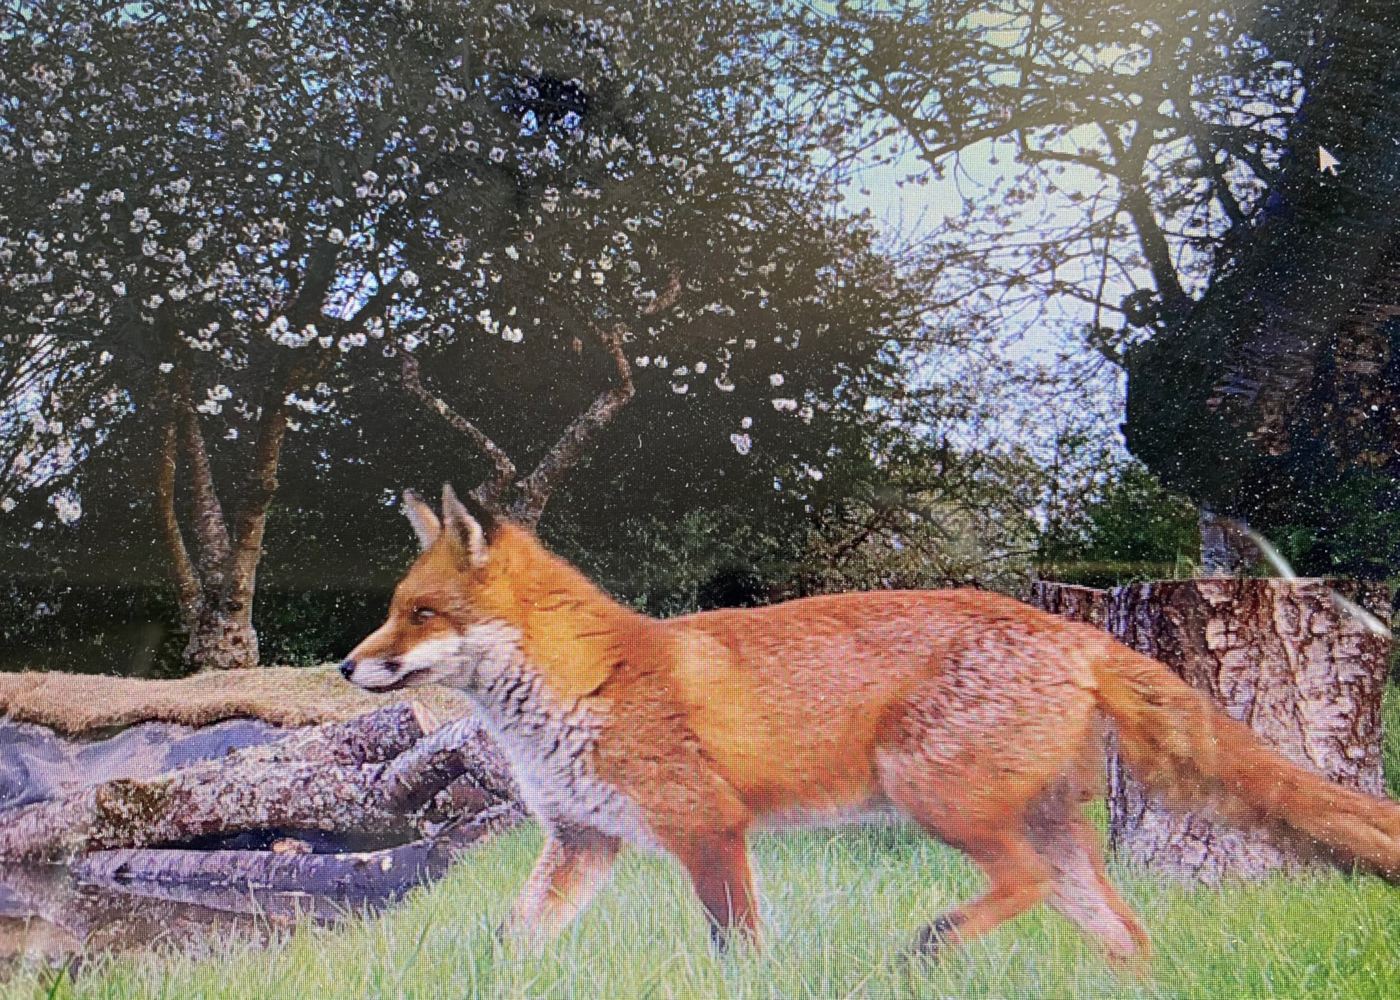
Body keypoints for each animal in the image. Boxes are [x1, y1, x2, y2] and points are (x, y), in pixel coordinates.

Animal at [341, 484, 1400, 963]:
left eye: (419, 614)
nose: (346, 666)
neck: (585, 685)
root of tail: (1068, 626)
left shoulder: (707, 829)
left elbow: (738, 952)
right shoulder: (582, 842)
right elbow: (508, 944)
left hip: (936, 796)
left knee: (1017, 885)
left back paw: (925, 947)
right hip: (1051, 836)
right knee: (1128, 934)